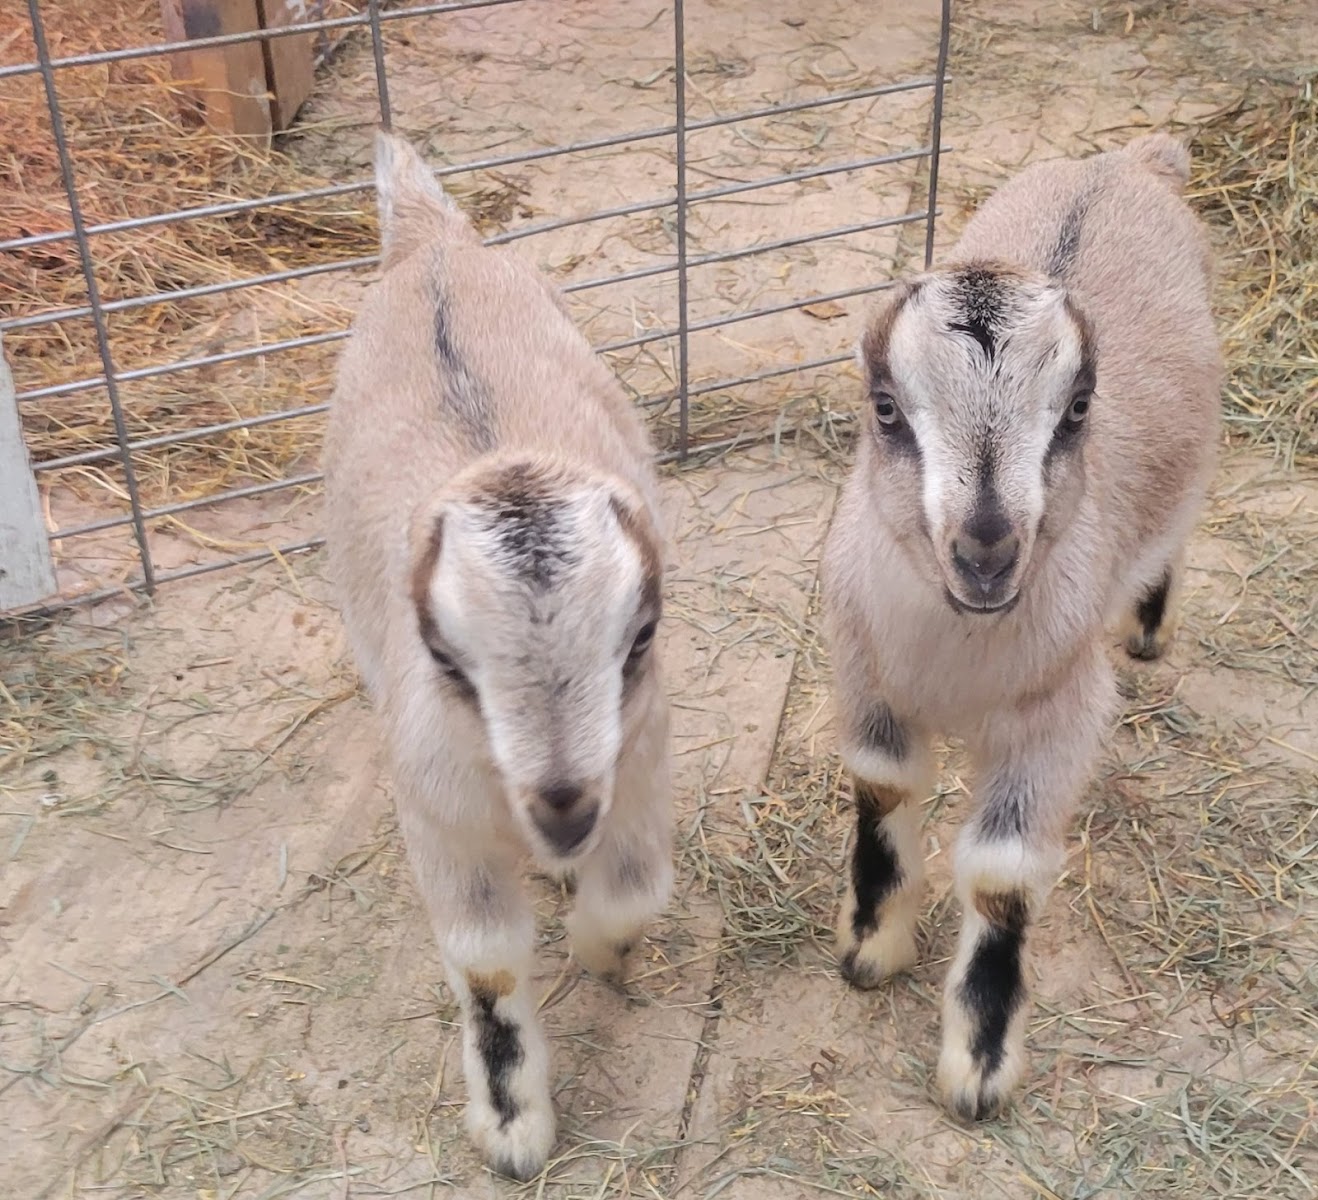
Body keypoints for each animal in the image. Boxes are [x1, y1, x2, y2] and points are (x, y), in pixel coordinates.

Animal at [323, 131, 674, 1180]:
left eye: (641, 635)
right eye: (444, 657)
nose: (563, 806)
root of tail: (434, 244)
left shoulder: (641, 765)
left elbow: (635, 892)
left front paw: (603, 955)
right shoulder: (438, 813)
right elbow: (483, 959)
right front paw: (514, 1128)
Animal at [821, 134, 1221, 1121]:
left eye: (1077, 409)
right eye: (886, 407)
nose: (987, 552)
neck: (954, 651)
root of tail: (1131, 161)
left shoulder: (1057, 714)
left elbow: (1002, 875)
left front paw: (980, 1062)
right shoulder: (865, 674)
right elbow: (882, 790)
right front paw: (870, 945)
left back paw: (1149, 624)